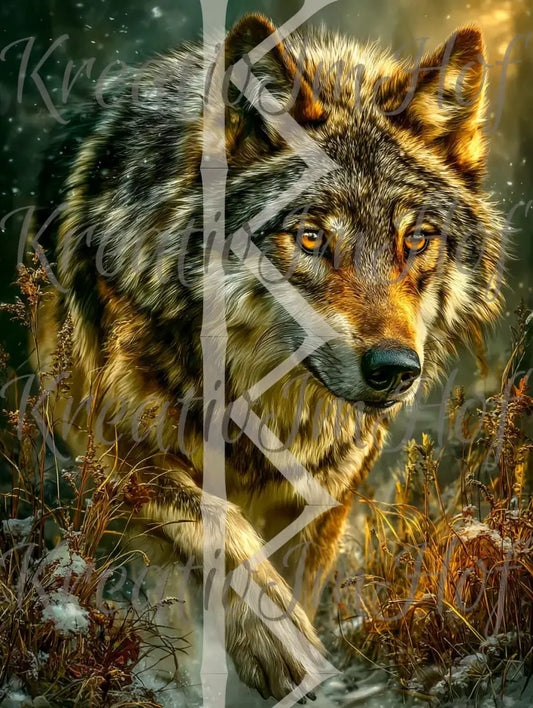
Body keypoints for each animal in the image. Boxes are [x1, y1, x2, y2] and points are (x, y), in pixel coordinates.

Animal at [33, 13, 504, 701]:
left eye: (415, 240)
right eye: (310, 238)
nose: (395, 370)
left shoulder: (325, 497)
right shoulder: (103, 437)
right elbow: (217, 525)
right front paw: (279, 643)